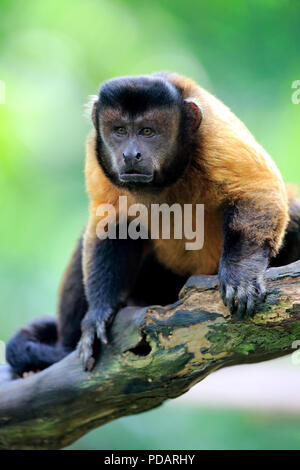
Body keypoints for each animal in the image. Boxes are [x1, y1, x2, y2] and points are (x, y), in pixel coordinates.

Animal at [5, 71, 300, 376]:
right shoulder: (95, 153)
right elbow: (110, 222)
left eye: (147, 132)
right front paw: (98, 312)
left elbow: (258, 189)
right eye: (120, 131)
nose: (130, 154)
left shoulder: (215, 132)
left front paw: (240, 272)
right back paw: (61, 349)